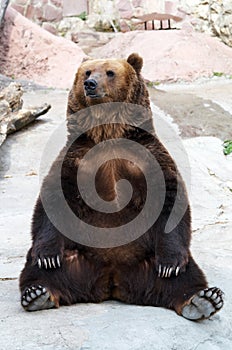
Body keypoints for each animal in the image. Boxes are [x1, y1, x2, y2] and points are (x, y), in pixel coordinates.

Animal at [19, 52, 223, 320]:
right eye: (87, 72)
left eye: (110, 72)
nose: (90, 84)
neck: (108, 133)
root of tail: (112, 280)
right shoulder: (76, 159)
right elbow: (53, 199)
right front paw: (47, 256)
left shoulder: (149, 158)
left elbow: (170, 199)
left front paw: (170, 265)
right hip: (78, 257)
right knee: (42, 269)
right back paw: (37, 293)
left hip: (147, 260)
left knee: (185, 275)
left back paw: (202, 299)